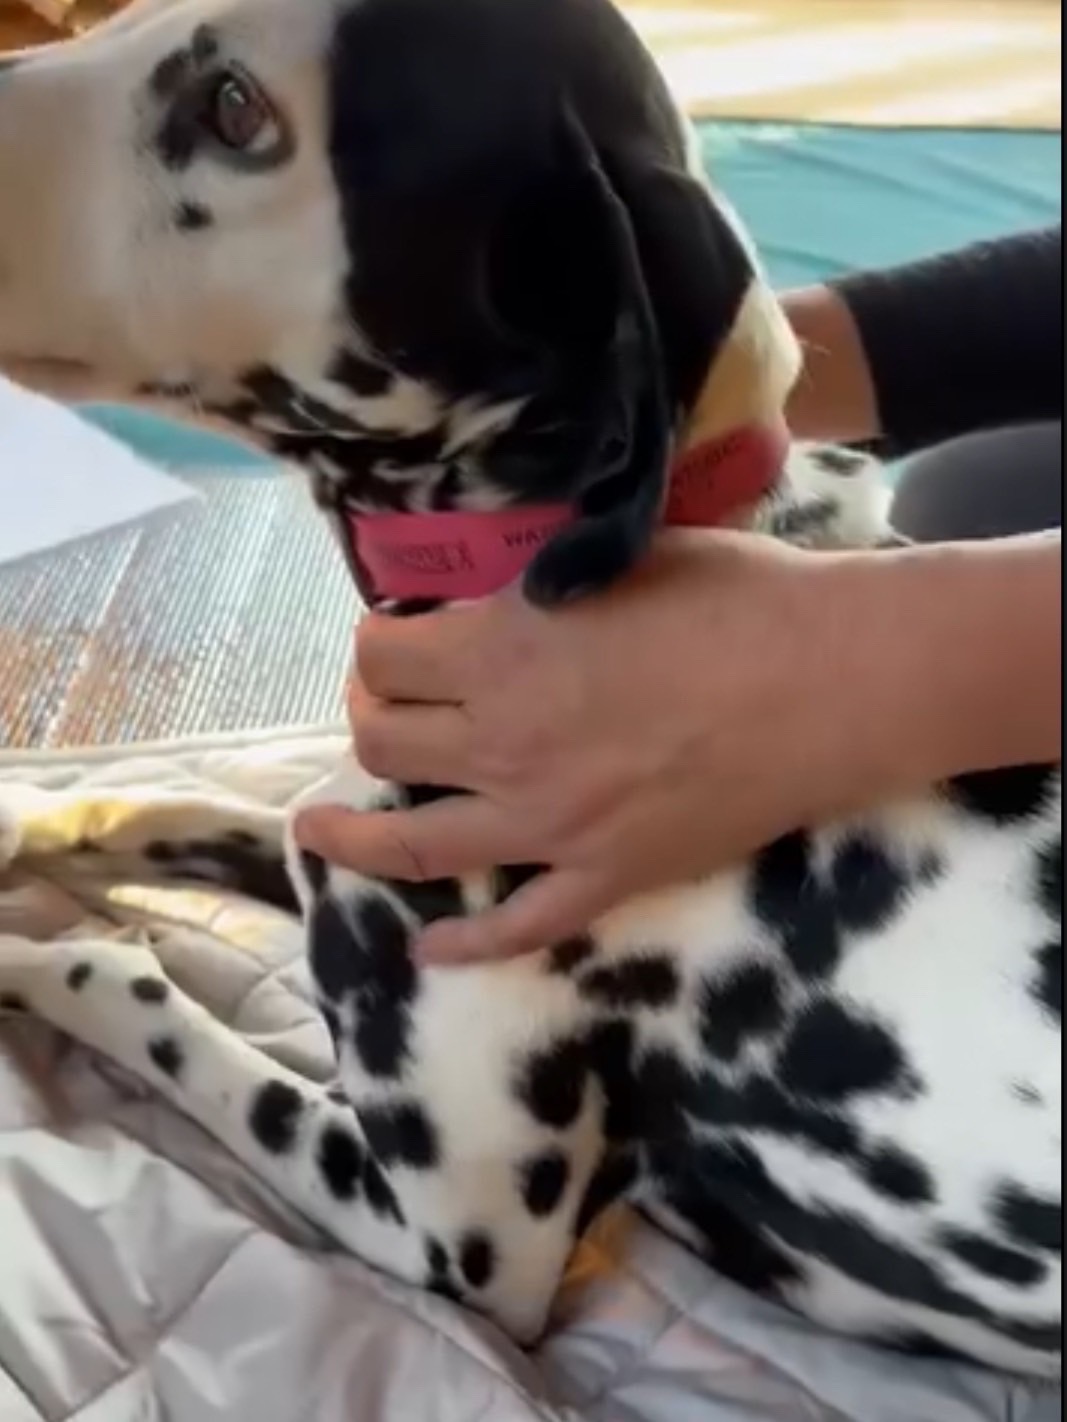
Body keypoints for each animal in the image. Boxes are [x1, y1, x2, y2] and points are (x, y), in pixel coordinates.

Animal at [0, 0, 1060, 1377]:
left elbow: (114, 980)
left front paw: (30, 952)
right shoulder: (334, 842)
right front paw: (37, 823)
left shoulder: (444, 1244)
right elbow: (178, 807)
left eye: (236, 110)